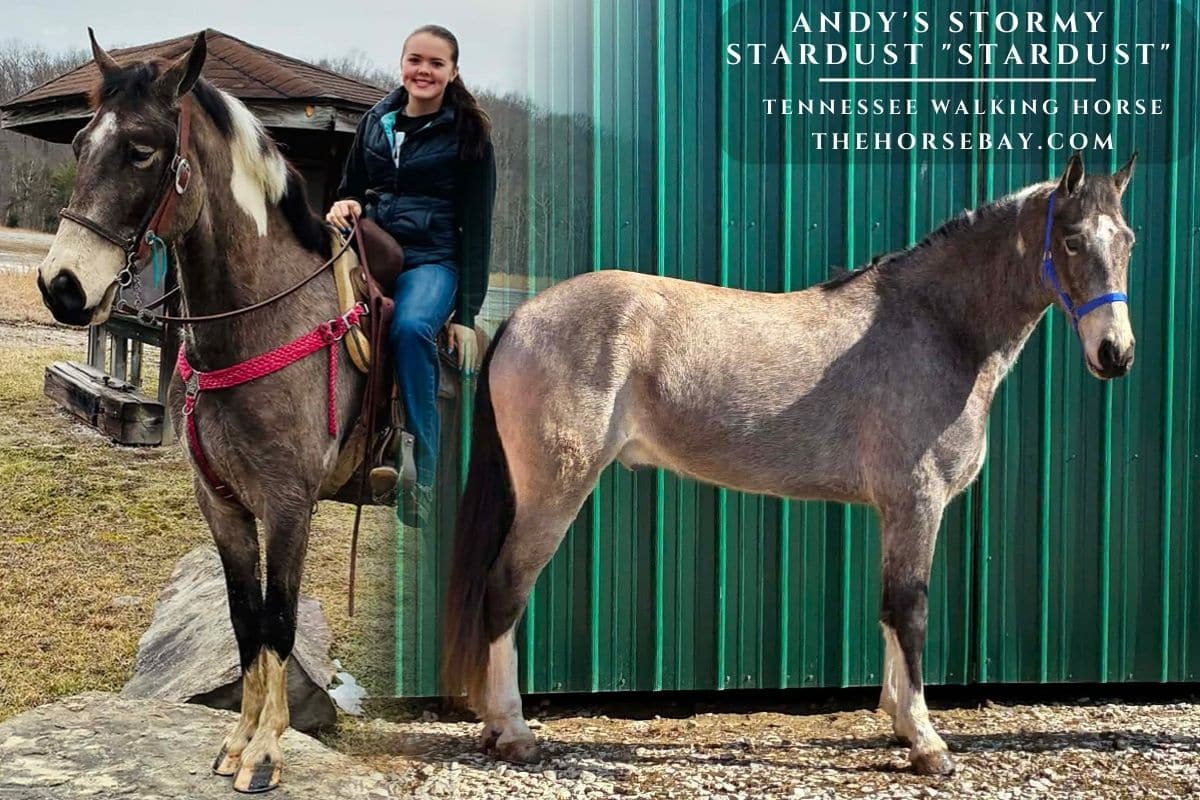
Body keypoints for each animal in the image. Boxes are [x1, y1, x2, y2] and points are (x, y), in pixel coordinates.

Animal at [36, 31, 377, 792]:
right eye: (79, 140)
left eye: (141, 150)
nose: (62, 286)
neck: (270, 320)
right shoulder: (222, 505)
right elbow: (244, 620)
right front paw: (238, 741)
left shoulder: (288, 506)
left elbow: (279, 622)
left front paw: (267, 753)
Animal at [442, 152, 1138, 775]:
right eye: (1072, 241)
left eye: (1127, 241)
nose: (1117, 353)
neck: (937, 325)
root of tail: (521, 318)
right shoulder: (918, 501)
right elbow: (910, 611)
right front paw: (926, 742)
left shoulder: (895, 511)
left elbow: (888, 610)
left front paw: (897, 723)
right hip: (554, 492)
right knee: (505, 590)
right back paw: (514, 733)